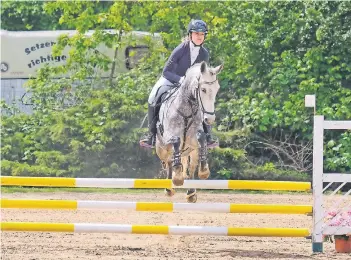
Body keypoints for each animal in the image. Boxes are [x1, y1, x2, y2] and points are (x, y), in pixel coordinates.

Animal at [156, 61, 224, 203]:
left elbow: (201, 137)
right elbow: (176, 141)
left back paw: (191, 193)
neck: (186, 111)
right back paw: (170, 187)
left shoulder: (193, 139)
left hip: (192, 152)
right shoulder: (169, 136)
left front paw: (204, 171)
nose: (209, 119)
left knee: (191, 167)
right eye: (203, 90)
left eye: (217, 89)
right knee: (168, 161)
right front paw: (177, 177)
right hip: (161, 149)